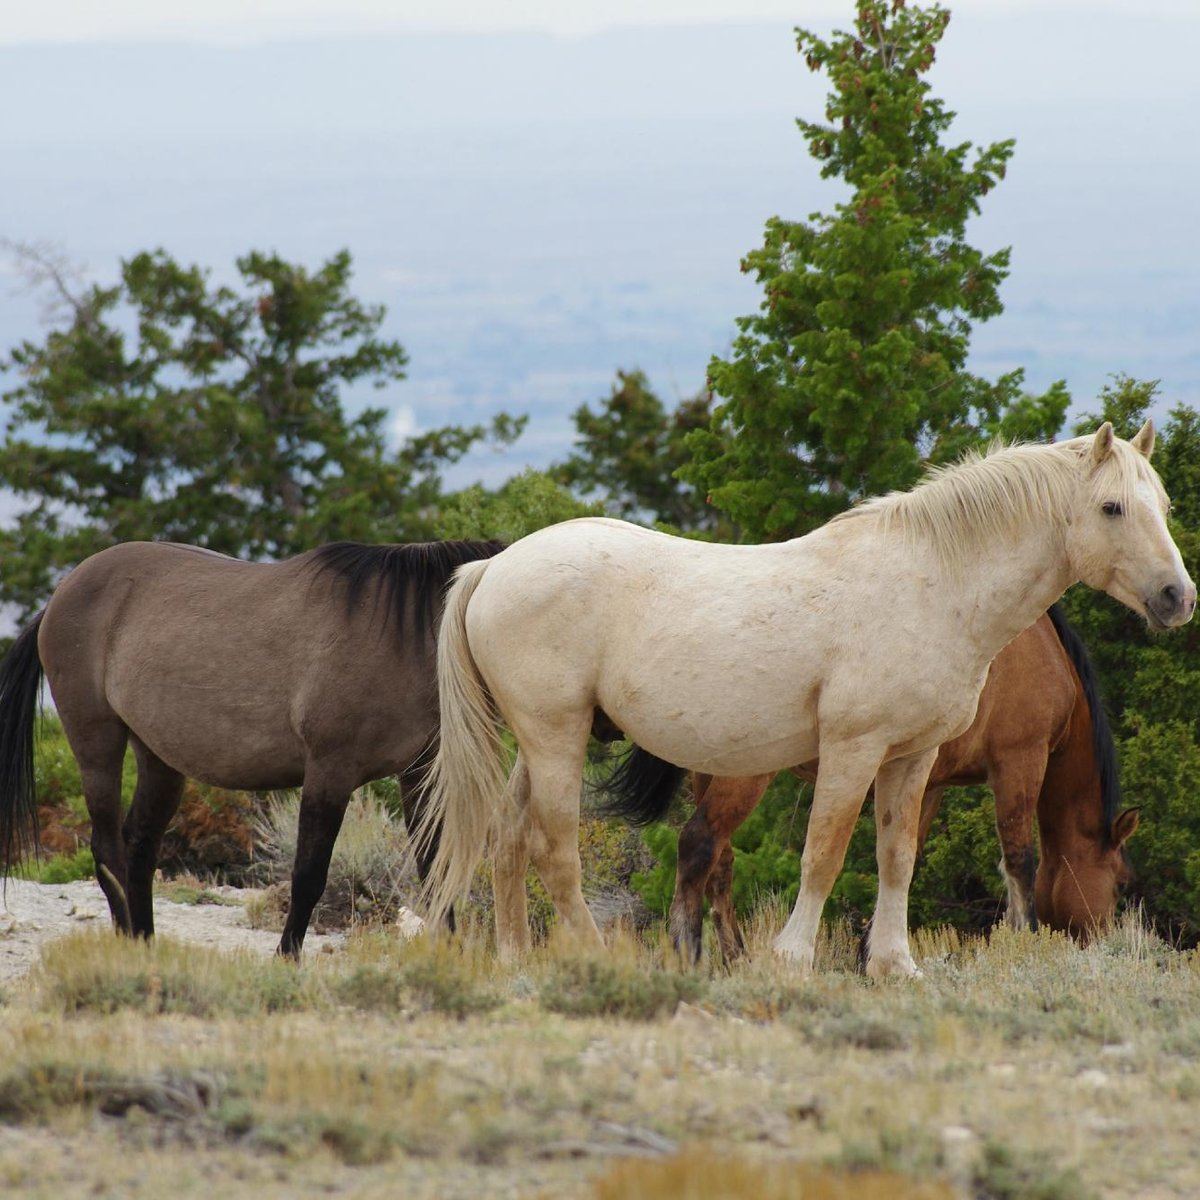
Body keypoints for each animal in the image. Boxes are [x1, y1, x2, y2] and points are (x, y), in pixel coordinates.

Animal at [0, 540, 504, 950]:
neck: (401, 635)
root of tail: (59, 596)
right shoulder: (330, 772)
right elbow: (309, 875)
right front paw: (287, 958)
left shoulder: (421, 774)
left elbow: (436, 868)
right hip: (96, 743)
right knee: (108, 851)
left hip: (158, 758)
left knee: (139, 848)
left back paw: (145, 946)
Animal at [676, 604, 1132, 960]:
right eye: (1121, 886)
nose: (1107, 942)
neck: (1045, 653)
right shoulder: (1020, 760)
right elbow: (1019, 861)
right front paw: (1026, 942)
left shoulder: (928, 782)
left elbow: (900, 858)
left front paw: (870, 954)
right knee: (702, 844)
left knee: (720, 861)